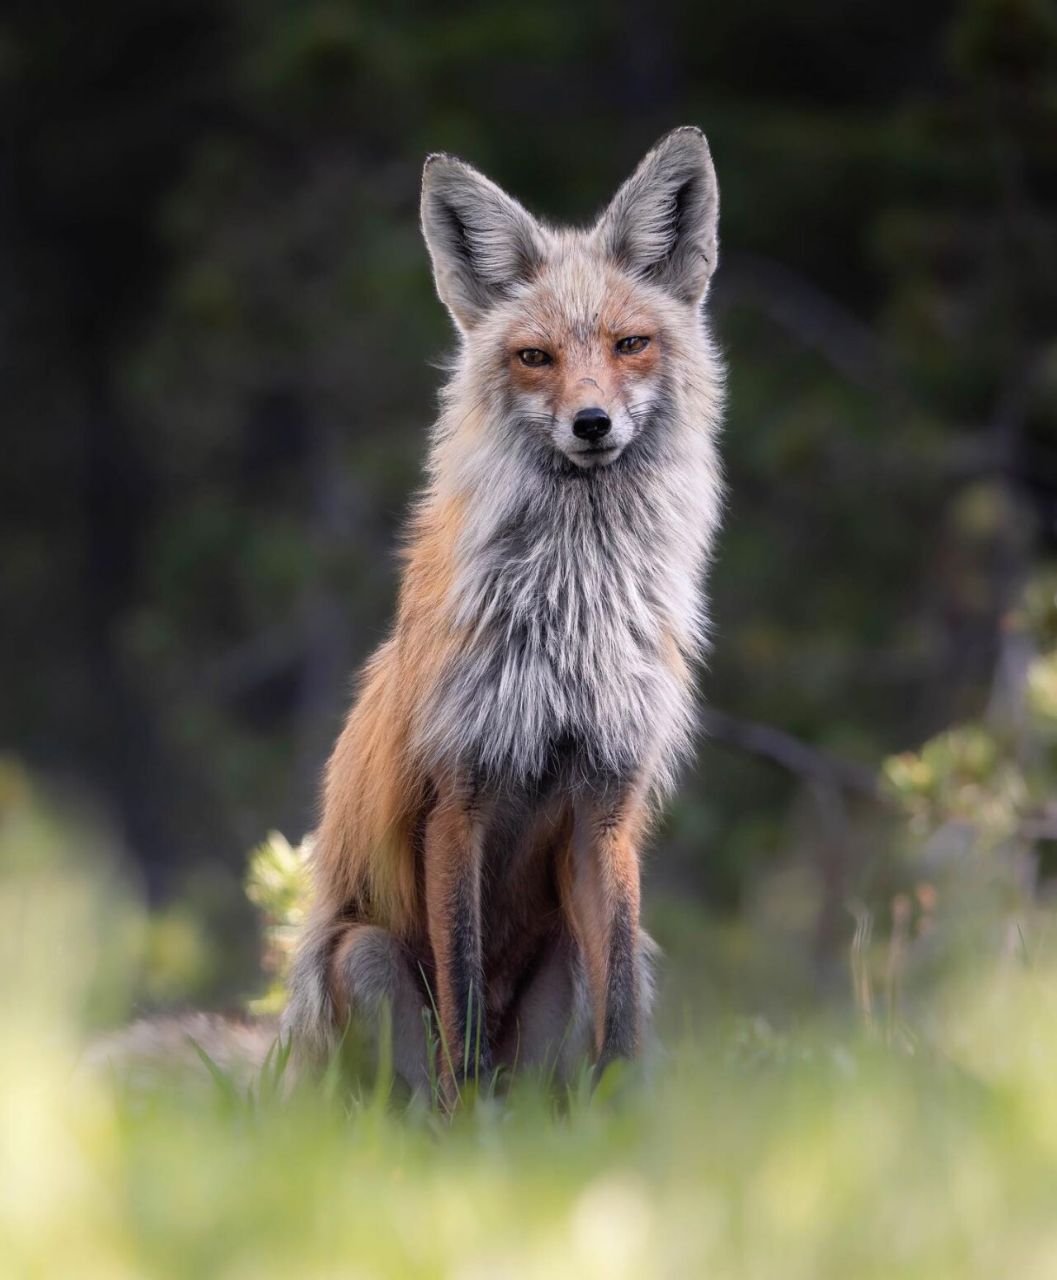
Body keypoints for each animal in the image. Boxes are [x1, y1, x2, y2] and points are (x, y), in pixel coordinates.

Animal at [281, 124, 726, 1095]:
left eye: (630, 343)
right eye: (534, 357)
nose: (592, 423)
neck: (571, 615)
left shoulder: (606, 802)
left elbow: (619, 1025)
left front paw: (625, 1121)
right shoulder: (459, 796)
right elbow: (462, 1012)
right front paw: (469, 1134)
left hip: (573, 961)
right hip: (362, 956)